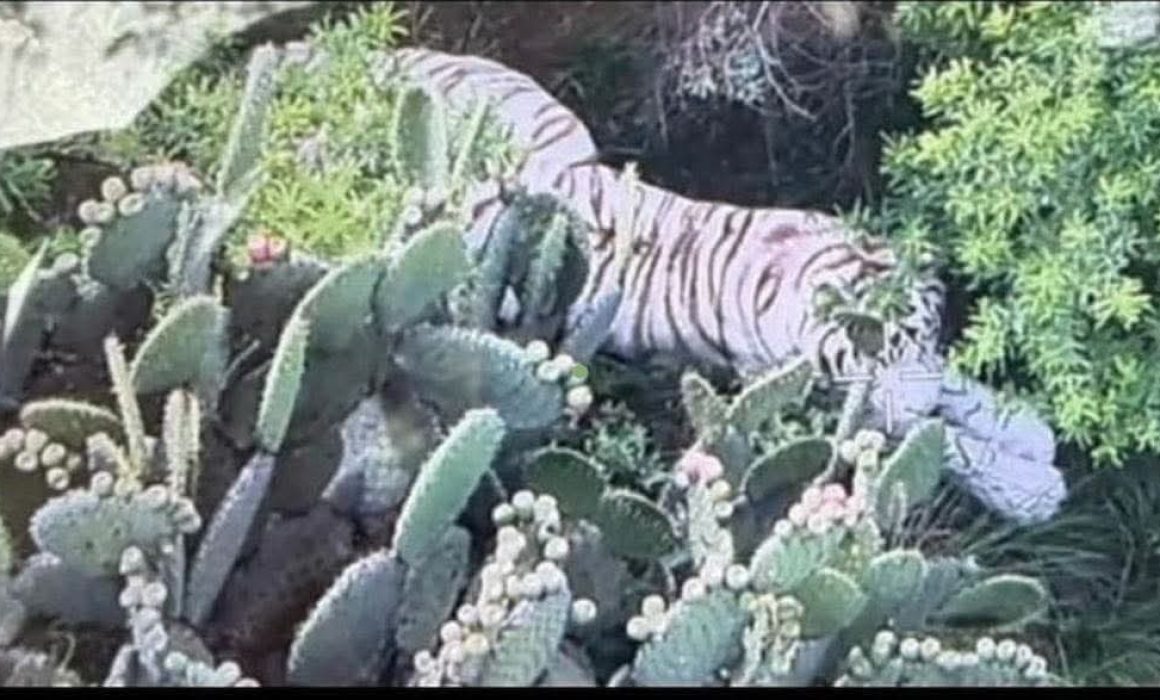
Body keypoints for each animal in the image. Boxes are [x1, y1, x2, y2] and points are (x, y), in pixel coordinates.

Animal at [381, 47, 1066, 524]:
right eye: (876, 354)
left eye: (921, 336)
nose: (918, 402)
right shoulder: (829, 397)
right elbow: (945, 444)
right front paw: (1033, 487)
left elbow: (957, 388)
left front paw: (1026, 429)